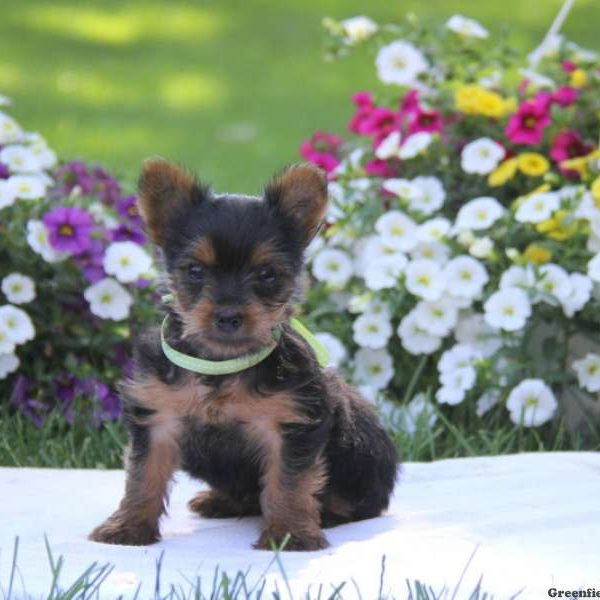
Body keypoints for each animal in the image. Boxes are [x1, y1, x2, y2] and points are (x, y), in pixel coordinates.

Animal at [89, 158, 398, 548]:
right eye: (195, 270)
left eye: (266, 274)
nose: (228, 315)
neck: (220, 365)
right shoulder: (157, 416)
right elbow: (144, 474)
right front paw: (128, 527)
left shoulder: (291, 426)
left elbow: (290, 482)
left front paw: (289, 535)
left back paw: (325, 515)